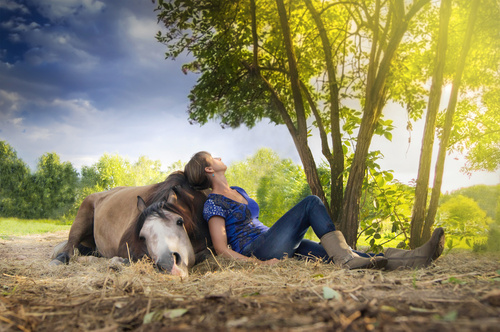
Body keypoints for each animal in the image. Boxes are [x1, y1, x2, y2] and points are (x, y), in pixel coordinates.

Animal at [50, 171, 213, 278]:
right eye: (142, 236)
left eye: (179, 221)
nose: (168, 265)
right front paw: (119, 262)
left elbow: (206, 254)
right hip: (81, 219)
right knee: (69, 248)